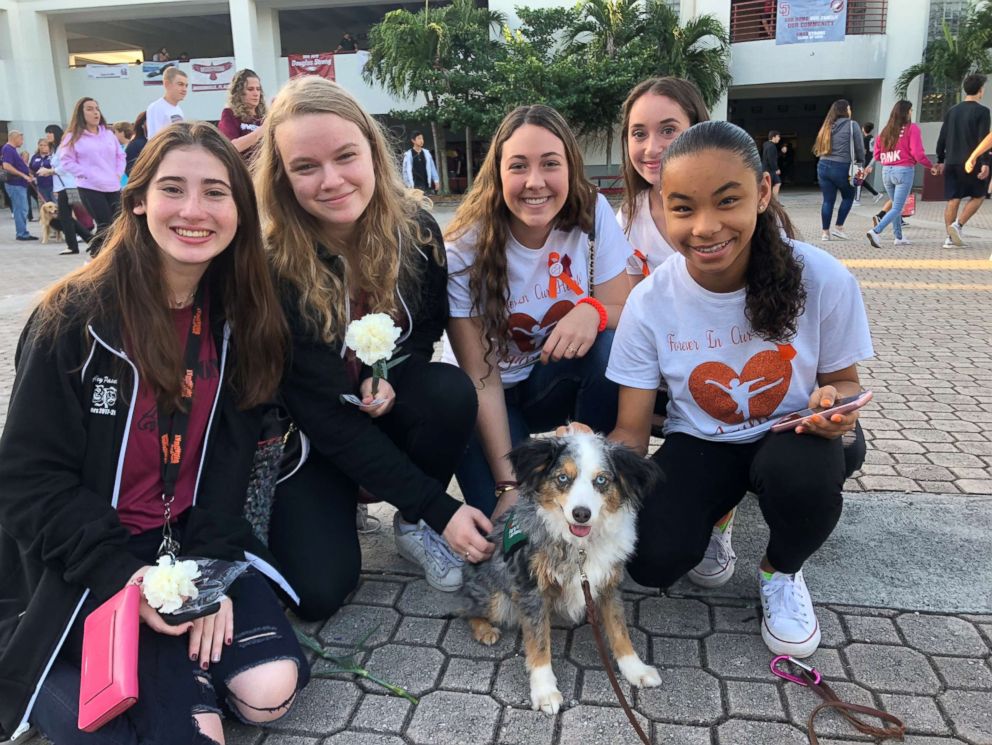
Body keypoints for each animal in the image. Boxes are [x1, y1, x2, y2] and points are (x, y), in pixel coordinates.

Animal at [462, 434, 664, 712]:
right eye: (562, 478)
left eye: (601, 480)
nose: (581, 514)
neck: (579, 547)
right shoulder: (531, 589)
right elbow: (539, 642)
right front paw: (545, 691)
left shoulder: (608, 584)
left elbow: (619, 629)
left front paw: (635, 669)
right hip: (496, 597)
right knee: (465, 608)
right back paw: (484, 630)